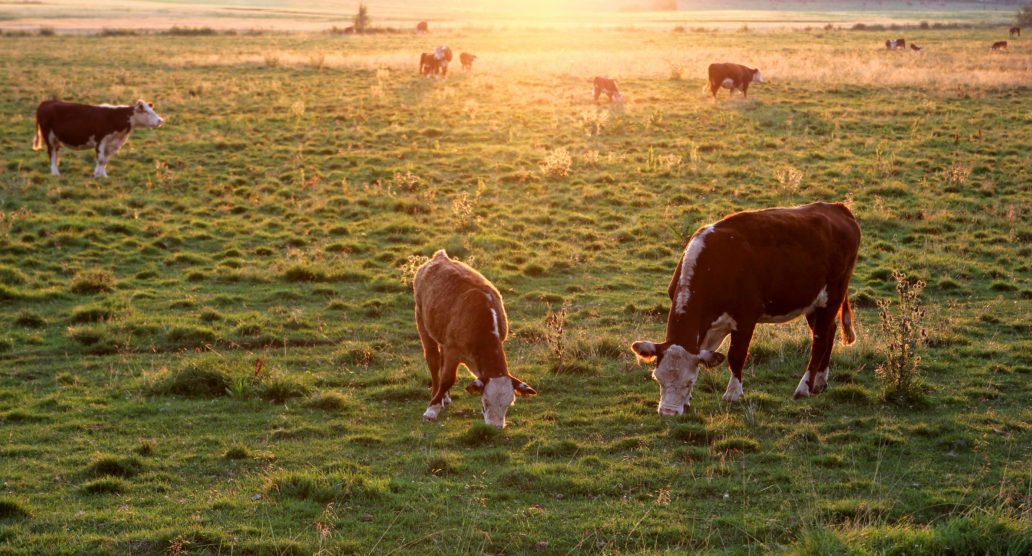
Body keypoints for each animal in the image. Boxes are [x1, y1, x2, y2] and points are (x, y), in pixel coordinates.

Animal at [33, 98, 163, 178]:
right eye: (147, 112)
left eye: (153, 110)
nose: (160, 120)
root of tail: (46, 101)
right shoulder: (101, 140)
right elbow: (101, 159)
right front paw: (97, 176)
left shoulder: (111, 144)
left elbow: (105, 160)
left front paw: (104, 175)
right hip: (48, 136)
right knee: (52, 154)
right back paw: (55, 173)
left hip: (56, 139)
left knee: (56, 153)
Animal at [412, 250, 540, 429]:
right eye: (485, 401)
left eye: (509, 404)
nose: (495, 427)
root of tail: (440, 256)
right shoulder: (453, 350)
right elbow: (447, 379)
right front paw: (432, 410)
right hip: (421, 320)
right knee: (433, 361)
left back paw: (445, 397)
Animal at [627, 202, 862, 414]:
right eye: (657, 379)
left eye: (688, 381)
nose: (668, 412)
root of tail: (837, 207)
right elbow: (703, 354)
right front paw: (688, 400)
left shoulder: (746, 317)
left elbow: (736, 355)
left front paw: (732, 393)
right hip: (814, 302)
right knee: (829, 333)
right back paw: (820, 382)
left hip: (832, 296)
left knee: (819, 341)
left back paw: (804, 387)